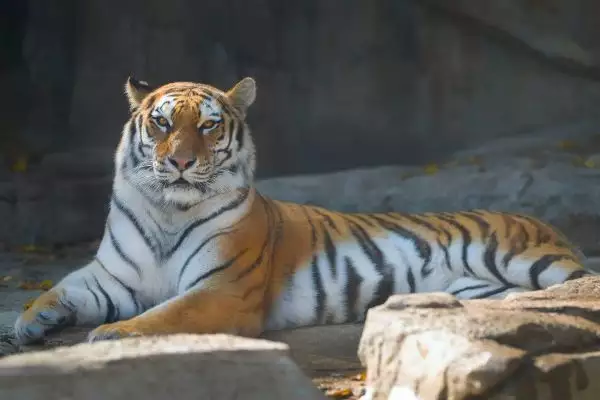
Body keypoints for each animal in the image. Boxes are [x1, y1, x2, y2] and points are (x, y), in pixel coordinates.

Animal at [12, 76, 592, 344]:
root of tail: (545, 222)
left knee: (584, 283)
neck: (168, 212)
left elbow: (168, 313)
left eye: (208, 125)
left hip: (527, 259)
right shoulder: (112, 276)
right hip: (484, 289)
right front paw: (28, 323)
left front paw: (113, 335)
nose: (178, 162)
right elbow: (58, 288)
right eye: (161, 123)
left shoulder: (224, 289)